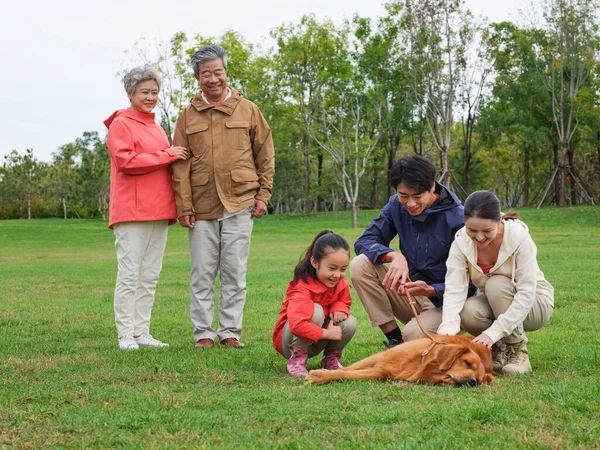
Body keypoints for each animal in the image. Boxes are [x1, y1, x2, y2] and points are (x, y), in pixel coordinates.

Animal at [308, 334, 494, 386]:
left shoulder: (380, 372)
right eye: (467, 363)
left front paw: (320, 376)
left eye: (478, 380)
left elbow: (349, 374)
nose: (472, 382)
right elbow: (347, 369)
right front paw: (321, 373)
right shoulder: (380, 357)